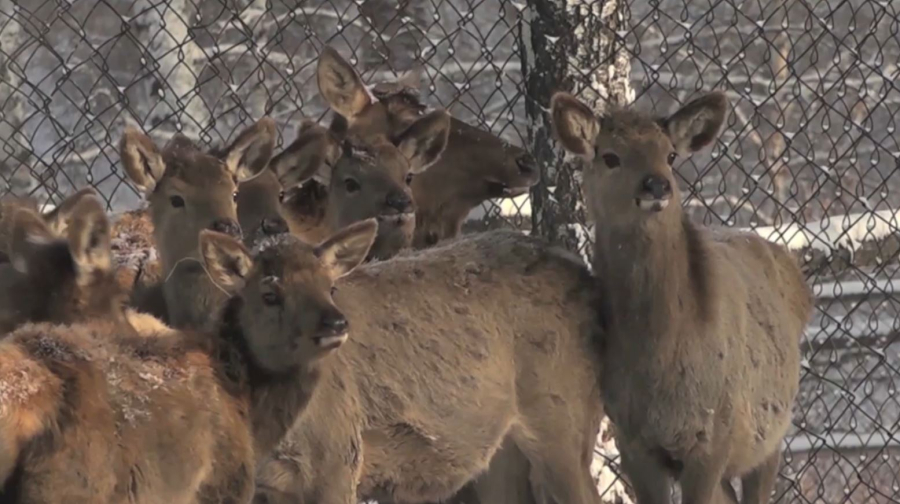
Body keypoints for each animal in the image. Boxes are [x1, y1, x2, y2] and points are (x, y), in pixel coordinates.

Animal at [250, 225, 608, 504]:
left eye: (330, 288)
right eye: (268, 295)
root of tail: (583, 271)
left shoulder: (338, 456)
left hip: (563, 415)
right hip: (506, 450)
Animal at [552, 91, 812, 504]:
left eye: (671, 154)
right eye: (610, 156)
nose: (657, 185)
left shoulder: (713, 434)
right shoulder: (633, 441)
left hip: (770, 436)